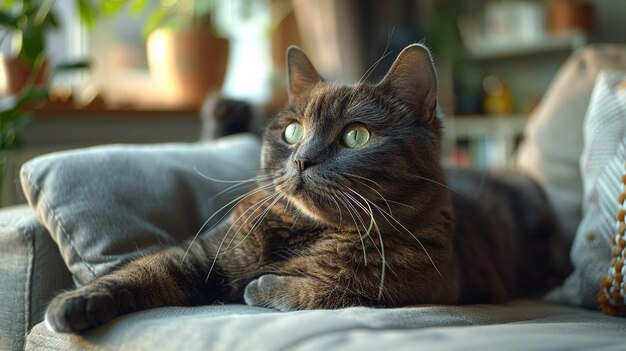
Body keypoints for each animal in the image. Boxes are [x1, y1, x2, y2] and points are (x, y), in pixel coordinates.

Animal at [44, 44, 564, 332]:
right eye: (292, 131)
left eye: (356, 136)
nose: (301, 159)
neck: (301, 234)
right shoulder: (203, 255)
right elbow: (145, 268)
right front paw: (74, 303)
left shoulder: (427, 286)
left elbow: (330, 290)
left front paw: (261, 287)